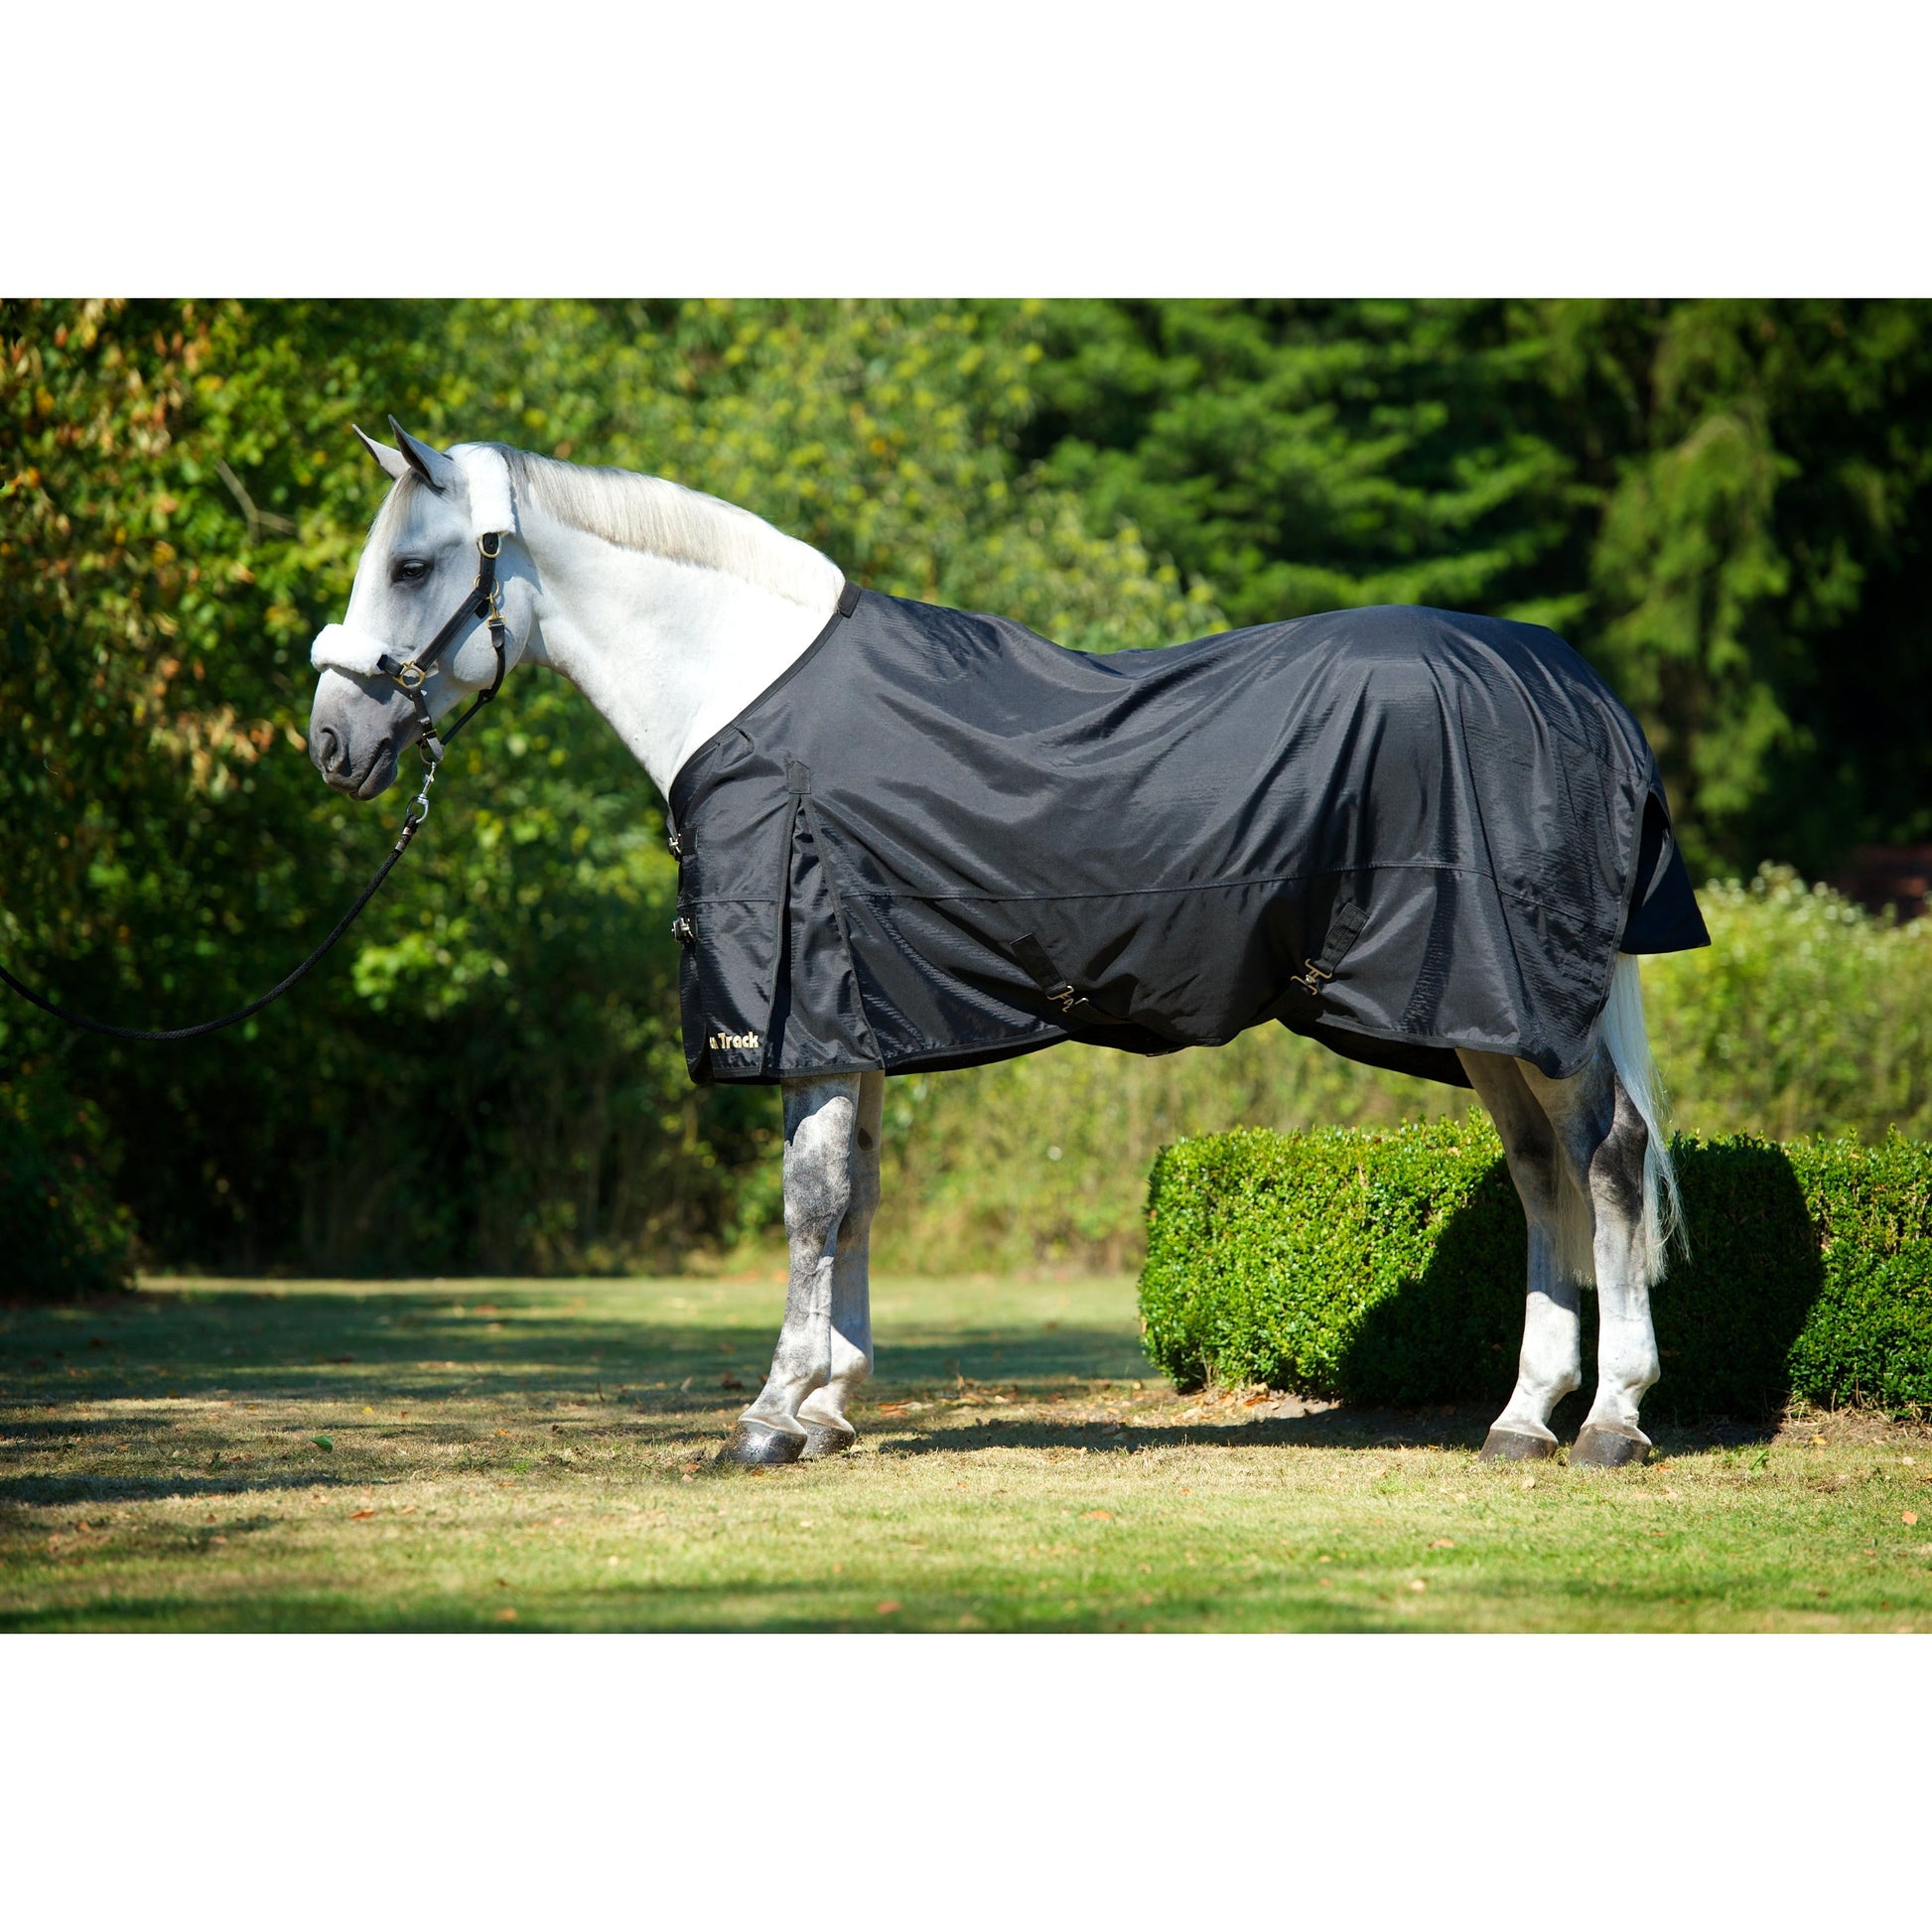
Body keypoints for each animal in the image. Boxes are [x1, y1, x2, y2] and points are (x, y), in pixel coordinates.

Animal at [307, 422, 1706, 1471]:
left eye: (414, 565)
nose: (330, 739)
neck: (741, 689)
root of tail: (1577, 689)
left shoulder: (808, 1007)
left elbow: (809, 1202)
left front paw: (766, 1417)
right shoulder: (858, 1015)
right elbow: (856, 1194)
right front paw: (829, 1407)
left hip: (1530, 1007)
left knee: (1607, 1156)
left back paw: (1613, 1419)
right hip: (1486, 1015)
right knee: (1538, 1169)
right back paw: (1520, 1418)